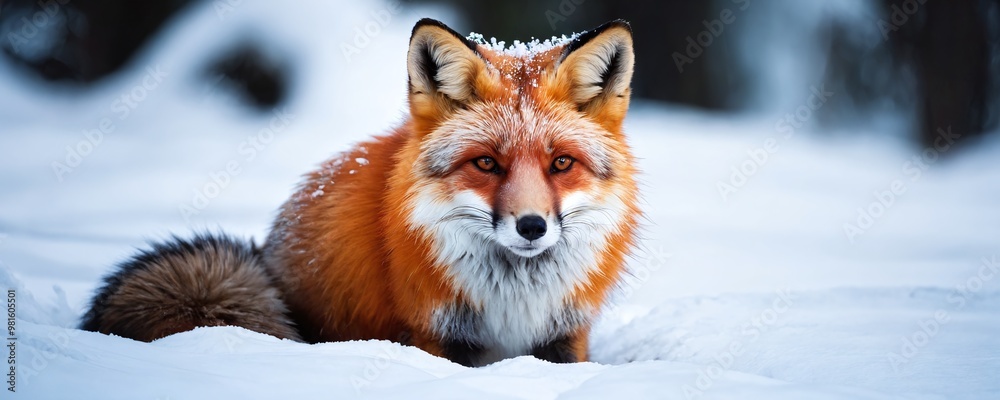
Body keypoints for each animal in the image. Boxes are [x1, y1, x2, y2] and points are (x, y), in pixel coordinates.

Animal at [81, 18, 639, 367]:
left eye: (561, 163)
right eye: (486, 163)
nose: (531, 226)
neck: (514, 301)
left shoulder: (565, 335)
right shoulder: (436, 334)